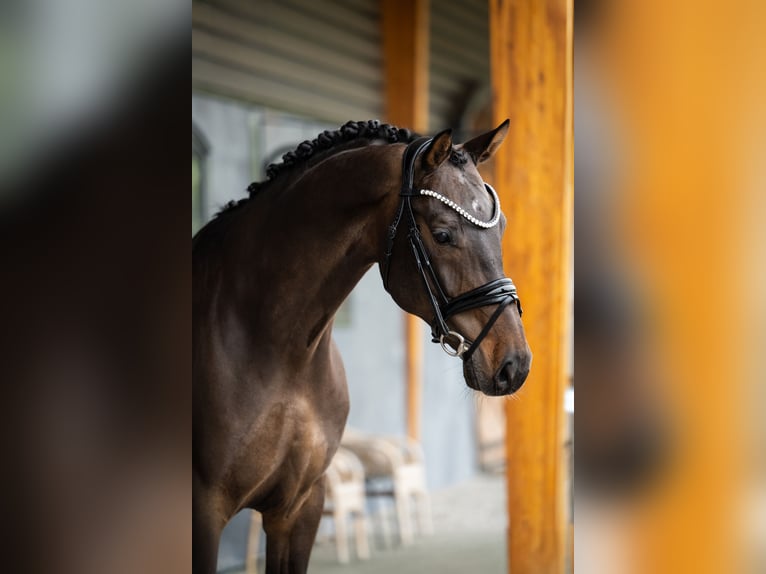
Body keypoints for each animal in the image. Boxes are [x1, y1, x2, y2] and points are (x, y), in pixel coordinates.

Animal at [192, 119, 532, 574]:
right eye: (443, 234)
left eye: (502, 228)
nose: (515, 363)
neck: (276, 349)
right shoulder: (204, 513)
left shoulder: (299, 507)